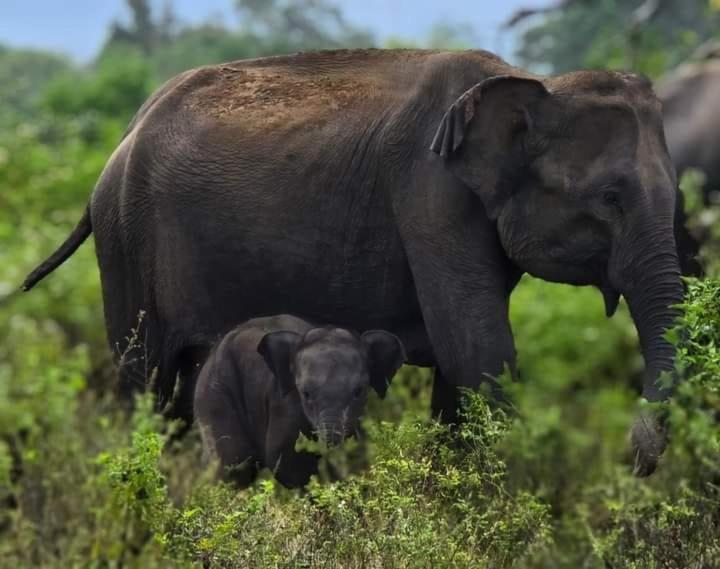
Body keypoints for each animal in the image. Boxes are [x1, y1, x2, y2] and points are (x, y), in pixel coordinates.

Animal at [194, 314, 404, 488]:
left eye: (358, 392)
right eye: (306, 393)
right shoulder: (284, 404)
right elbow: (281, 458)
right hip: (215, 393)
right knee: (234, 466)